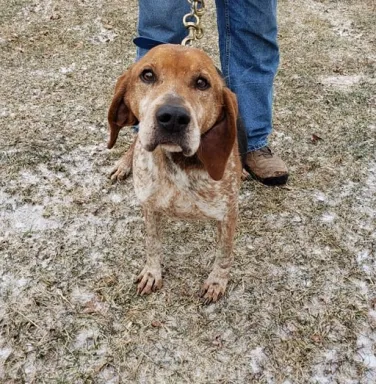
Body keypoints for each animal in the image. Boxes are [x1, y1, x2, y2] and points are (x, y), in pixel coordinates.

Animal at [107, 45, 245, 304]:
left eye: (202, 83)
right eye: (147, 75)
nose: (172, 117)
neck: (177, 163)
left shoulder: (228, 214)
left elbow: (224, 254)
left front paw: (216, 282)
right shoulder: (149, 207)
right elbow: (152, 244)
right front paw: (152, 273)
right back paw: (123, 164)